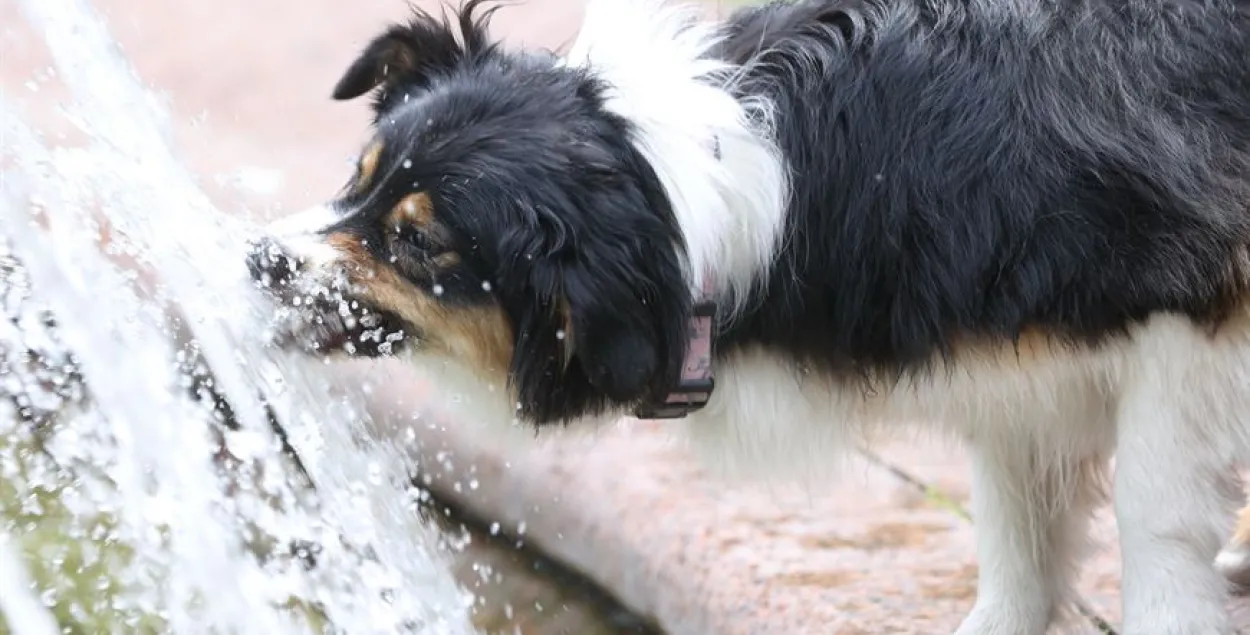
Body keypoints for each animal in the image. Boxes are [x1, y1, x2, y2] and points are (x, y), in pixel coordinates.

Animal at [243, 0, 1250, 630]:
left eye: (419, 242)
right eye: (357, 178)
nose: (256, 259)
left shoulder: (1191, 320)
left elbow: (1153, 512)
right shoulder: (1002, 359)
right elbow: (1016, 528)